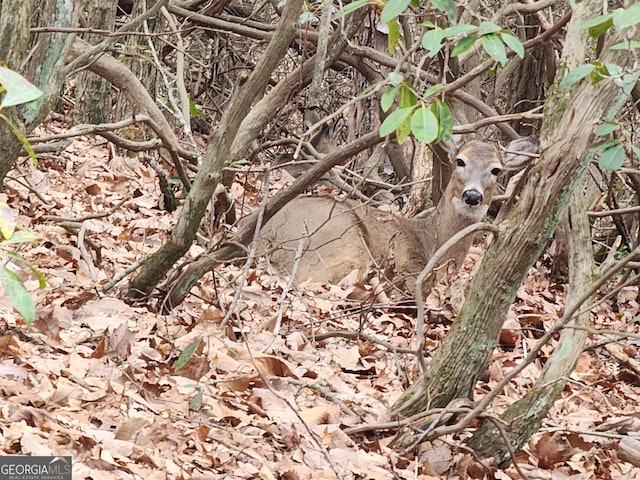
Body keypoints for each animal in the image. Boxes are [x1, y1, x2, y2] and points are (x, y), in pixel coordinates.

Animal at [256, 135, 540, 292]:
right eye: (460, 161)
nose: (472, 196)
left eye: (496, 169)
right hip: (339, 242)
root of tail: (266, 240)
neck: (430, 242)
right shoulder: (408, 266)